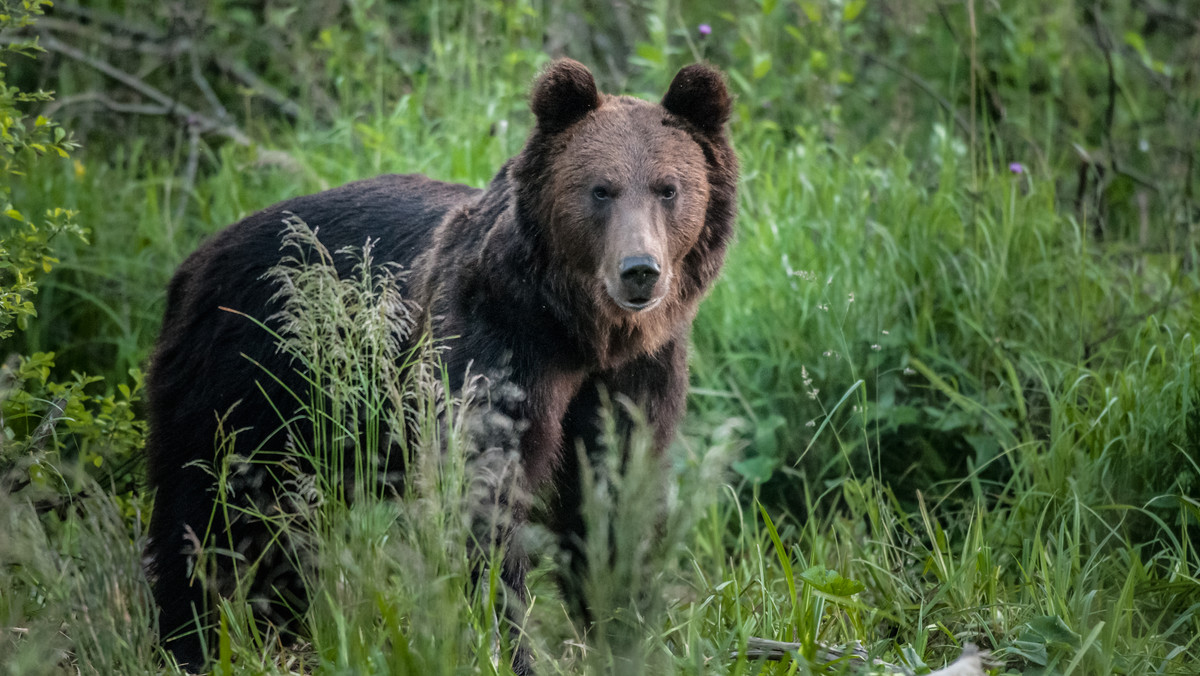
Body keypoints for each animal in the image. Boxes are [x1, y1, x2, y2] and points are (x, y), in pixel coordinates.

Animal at [145, 59, 734, 672]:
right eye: (601, 189)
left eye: (669, 188)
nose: (639, 270)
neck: (579, 334)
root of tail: (195, 261)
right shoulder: (493, 348)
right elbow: (483, 494)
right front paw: (505, 643)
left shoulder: (637, 373)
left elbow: (615, 492)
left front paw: (626, 627)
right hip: (246, 380)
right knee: (205, 513)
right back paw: (189, 641)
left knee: (284, 532)